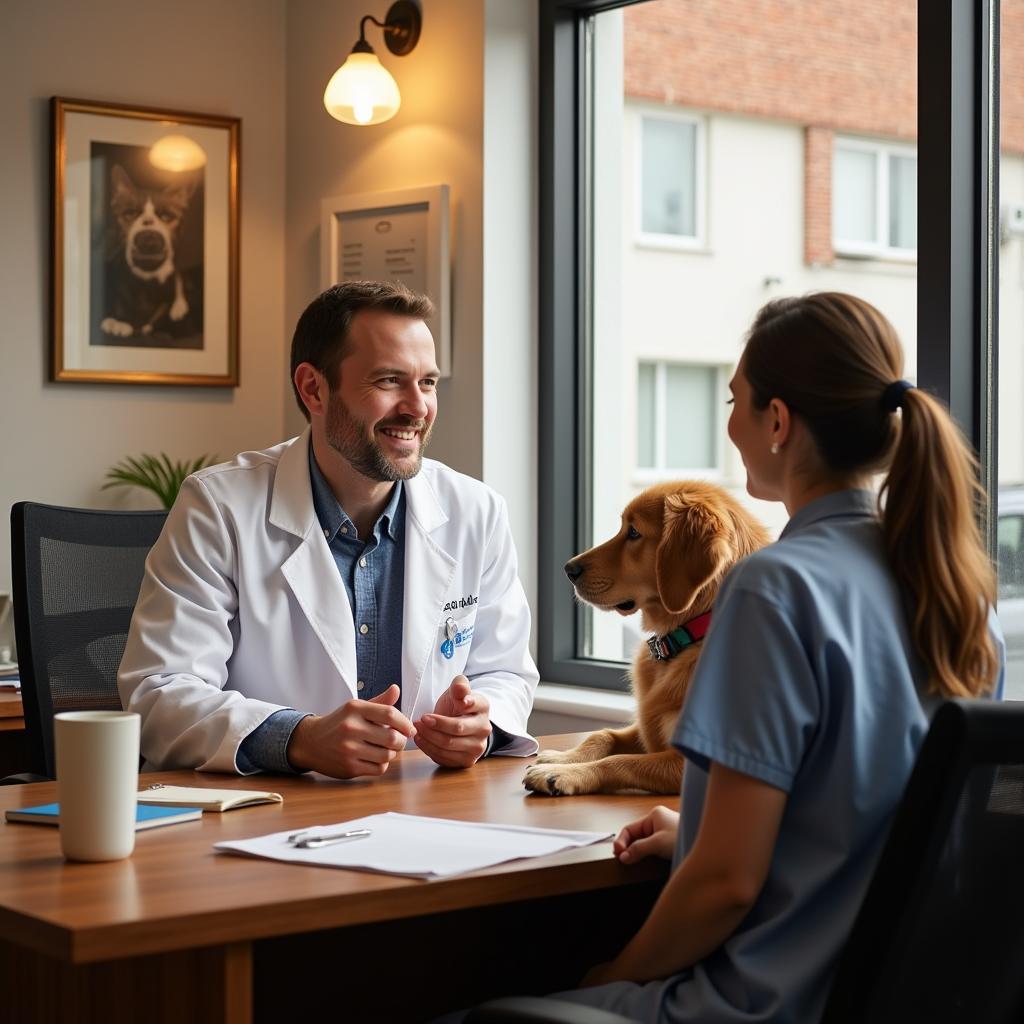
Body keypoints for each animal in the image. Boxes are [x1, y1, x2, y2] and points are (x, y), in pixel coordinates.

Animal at [524, 481, 765, 798]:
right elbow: (602, 735)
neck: (686, 637)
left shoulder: (689, 764)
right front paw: (564, 757)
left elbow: (620, 761)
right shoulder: (645, 726)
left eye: (634, 532)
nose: (568, 570)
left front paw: (564, 773)